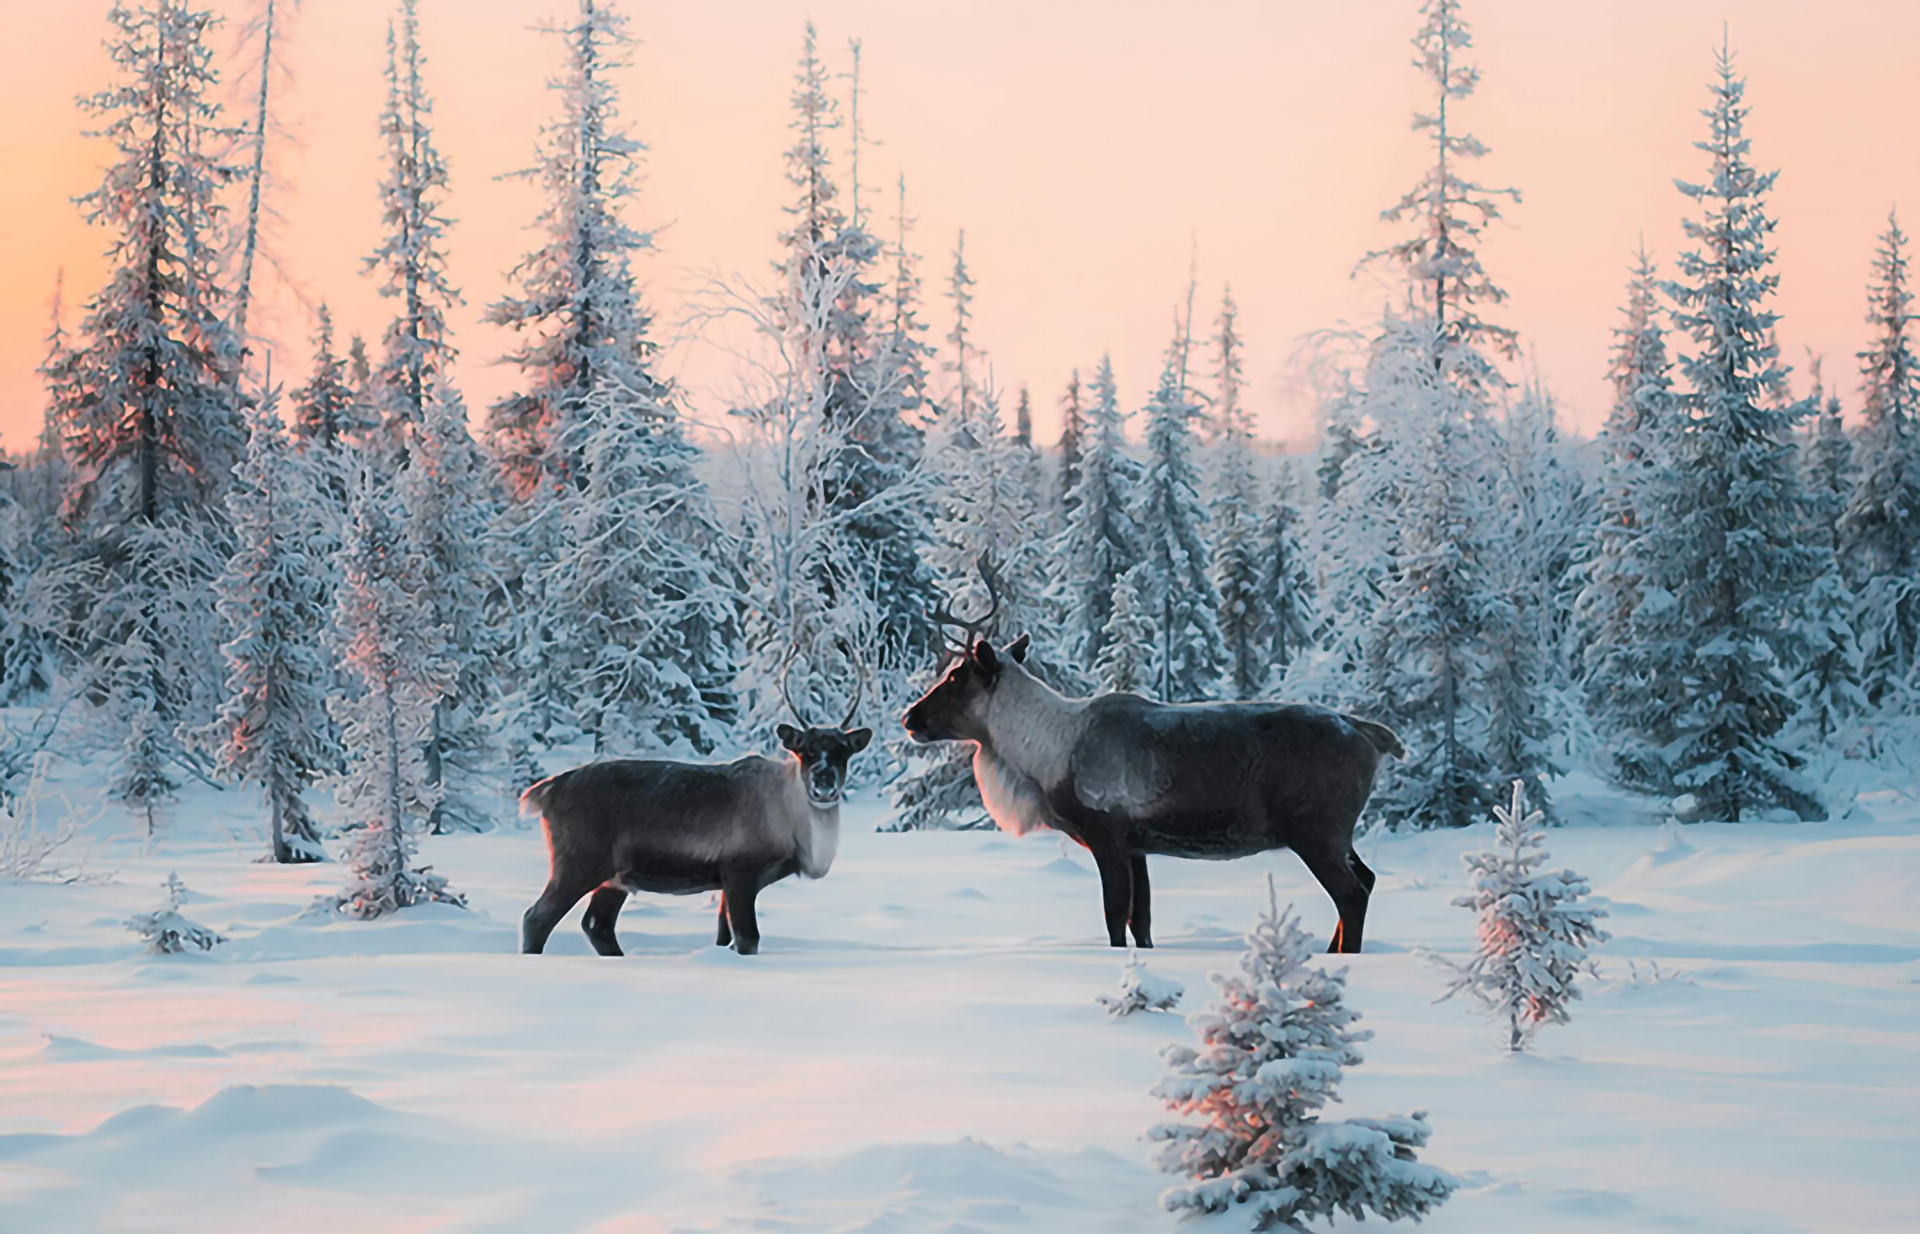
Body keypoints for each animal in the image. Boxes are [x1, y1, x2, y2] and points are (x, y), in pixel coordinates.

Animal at [519, 653, 872, 957]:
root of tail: (546, 790)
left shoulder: (730, 881)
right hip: (579, 861)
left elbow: (724, 937)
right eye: (805, 750)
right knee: (537, 918)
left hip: (615, 876)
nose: (823, 782)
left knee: (598, 925)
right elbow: (748, 938)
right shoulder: (740, 870)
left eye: (843, 751)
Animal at [902, 556, 1402, 954]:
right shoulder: (1139, 845)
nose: (910, 717)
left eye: (954, 677)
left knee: (1352, 894)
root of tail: (1371, 734)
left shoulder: (1106, 835)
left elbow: (1114, 919)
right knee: (1369, 878)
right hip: (1338, 833)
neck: (1041, 758)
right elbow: (1140, 922)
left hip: (1316, 829)